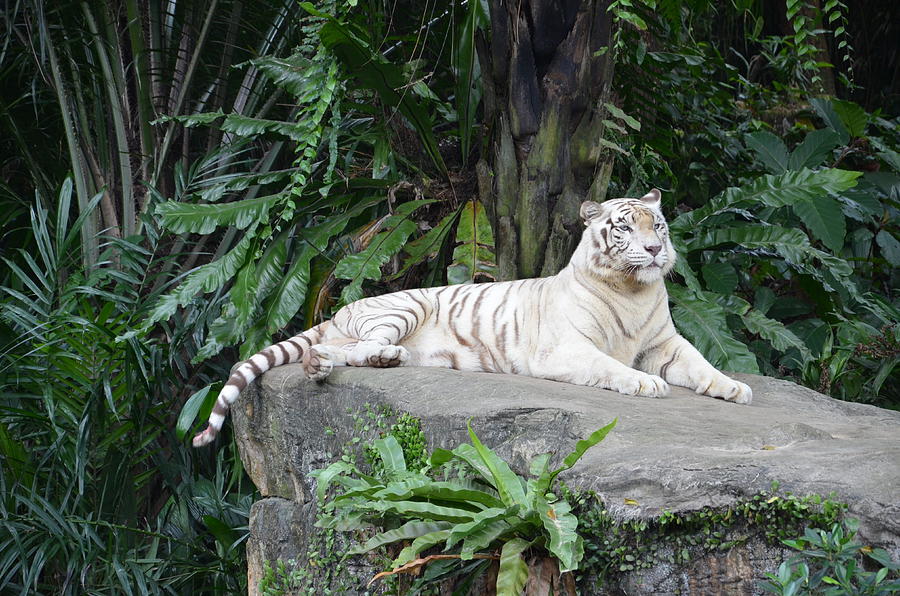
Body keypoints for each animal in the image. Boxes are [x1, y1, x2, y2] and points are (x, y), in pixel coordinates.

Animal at [192, 191, 752, 448]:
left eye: (657, 224)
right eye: (625, 228)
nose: (655, 250)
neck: (634, 290)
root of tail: (340, 308)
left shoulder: (665, 344)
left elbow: (702, 364)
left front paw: (735, 389)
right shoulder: (567, 348)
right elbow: (612, 367)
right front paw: (644, 385)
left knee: (346, 352)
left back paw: (347, 363)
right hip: (403, 306)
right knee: (348, 347)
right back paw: (341, 360)